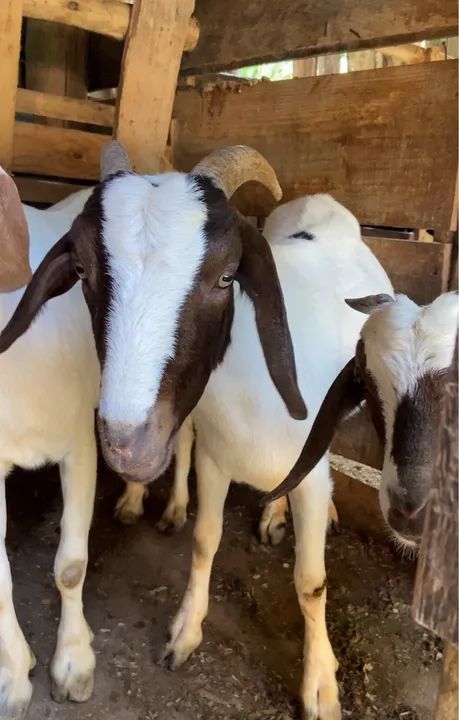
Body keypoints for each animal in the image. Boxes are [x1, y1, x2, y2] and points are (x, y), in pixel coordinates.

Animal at [0, 142, 392, 719]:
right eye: (83, 270)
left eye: (228, 277)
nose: (128, 442)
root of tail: (325, 207)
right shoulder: (215, 456)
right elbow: (205, 540)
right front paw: (185, 633)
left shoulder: (313, 471)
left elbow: (311, 582)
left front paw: (321, 686)